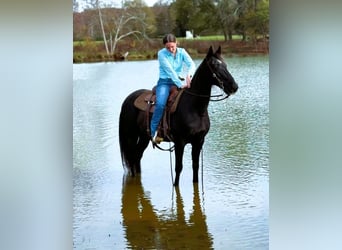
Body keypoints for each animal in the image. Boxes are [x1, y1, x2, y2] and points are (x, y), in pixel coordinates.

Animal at [117, 46, 238, 186]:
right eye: (214, 65)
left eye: (225, 64)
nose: (234, 87)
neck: (196, 109)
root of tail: (128, 99)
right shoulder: (180, 142)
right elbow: (178, 167)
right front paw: (175, 185)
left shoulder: (199, 141)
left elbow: (195, 166)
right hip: (131, 136)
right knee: (132, 157)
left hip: (144, 137)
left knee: (137, 156)